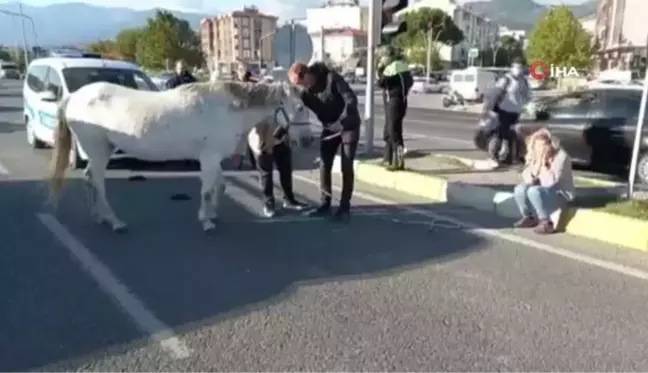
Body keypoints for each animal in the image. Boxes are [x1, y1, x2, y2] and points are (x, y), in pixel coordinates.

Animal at [48, 79, 306, 231]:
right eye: (300, 106)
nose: (302, 139)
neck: (226, 109)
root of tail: (73, 96)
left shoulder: (214, 158)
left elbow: (218, 186)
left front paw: (213, 214)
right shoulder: (209, 157)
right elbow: (207, 189)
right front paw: (206, 220)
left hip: (103, 149)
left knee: (90, 178)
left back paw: (99, 216)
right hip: (98, 150)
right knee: (98, 182)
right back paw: (114, 221)